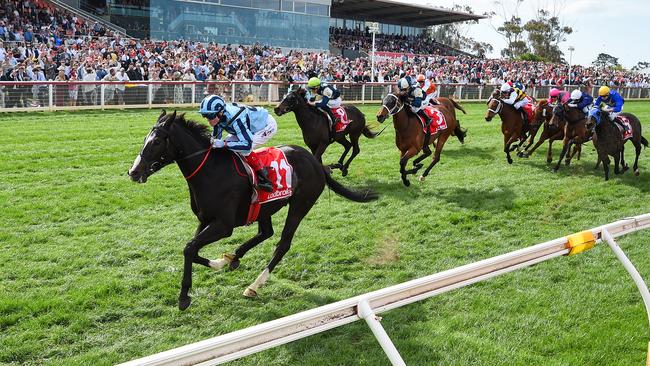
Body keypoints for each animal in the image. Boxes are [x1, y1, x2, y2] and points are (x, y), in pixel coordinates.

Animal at [127, 110, 378, 310]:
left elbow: (189, 248)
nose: (134, 171)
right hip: (265, 208)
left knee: (282, 244)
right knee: (265, 232)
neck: (210, 171)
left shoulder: (223, 225)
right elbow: (191, 249)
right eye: (146, 138)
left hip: (300, 205)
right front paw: (220, 262)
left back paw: (254, 285)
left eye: (157, 142)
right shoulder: (204, 220)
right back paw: (234, 257)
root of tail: (316, 162)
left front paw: (183, 298)